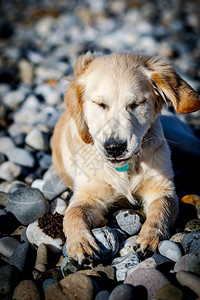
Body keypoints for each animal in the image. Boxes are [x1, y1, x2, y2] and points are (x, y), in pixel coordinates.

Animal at [52, 52, 200, 262]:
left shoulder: (161, 188)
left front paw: (148, 238)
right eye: (100, 104)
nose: (114, 148)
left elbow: (161, 209)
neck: (126, 167)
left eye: (136, 104)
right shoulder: (88, 196)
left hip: (187, 142)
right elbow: (72, 213)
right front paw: (80, 244)